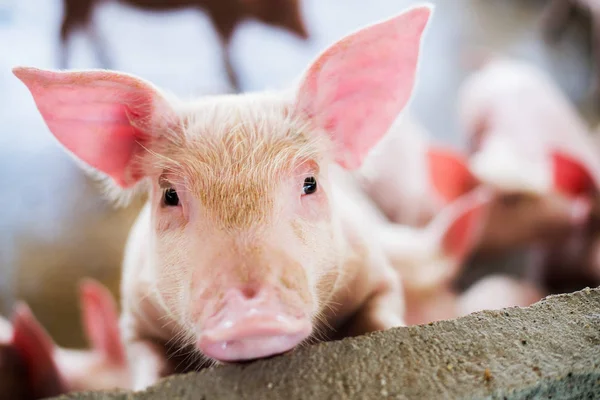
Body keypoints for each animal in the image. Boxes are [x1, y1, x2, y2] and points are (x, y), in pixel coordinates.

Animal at [3, 0, 600, 372]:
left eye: (310, 182)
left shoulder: (376, 268)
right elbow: (147, 363)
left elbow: (383, 314)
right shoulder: (135, 314)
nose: (252, 311)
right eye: (170, 195)